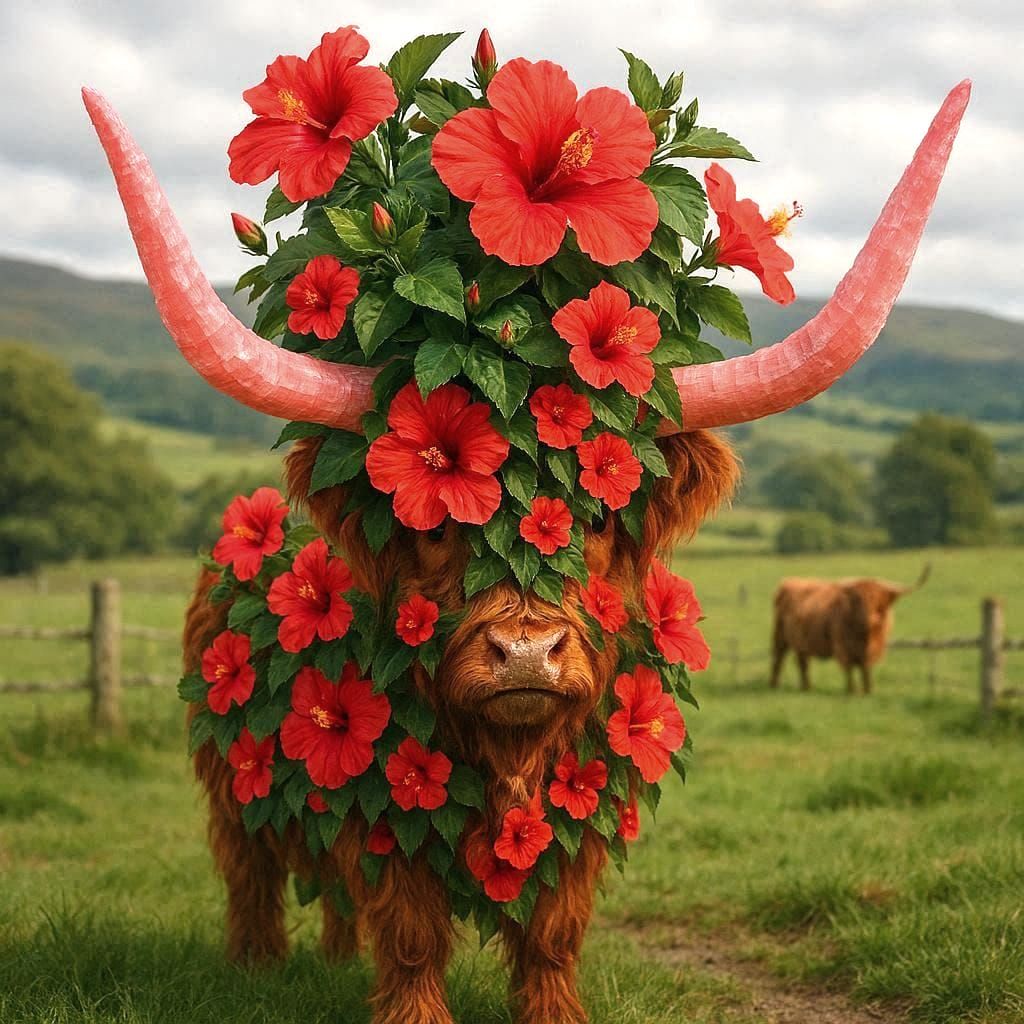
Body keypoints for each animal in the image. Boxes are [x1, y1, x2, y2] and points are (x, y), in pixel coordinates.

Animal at [770, 566, 930, 695]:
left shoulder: (873, 650)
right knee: (778, 659)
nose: (870, 619)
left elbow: (866, 670)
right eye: (858, 600)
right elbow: (849, 670)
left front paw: (868, 691)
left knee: (803, 663)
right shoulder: (843, 648)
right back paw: (774, 685)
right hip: (779, 636)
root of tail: (789, 581)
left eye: (879, 601)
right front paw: (851, 691)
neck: (865, 637)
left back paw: (806, 688)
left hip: (802, 642)